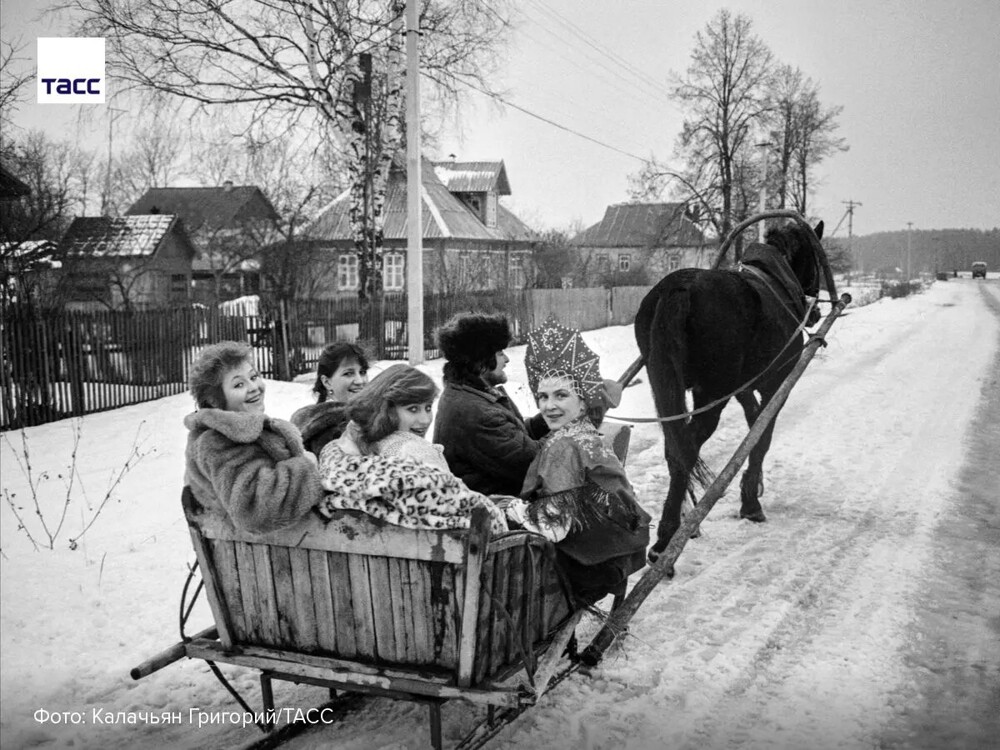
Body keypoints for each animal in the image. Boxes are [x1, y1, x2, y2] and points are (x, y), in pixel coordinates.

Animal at [636, 220, 824, 560]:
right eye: (815, 258)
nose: (814, 309)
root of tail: (680, 288)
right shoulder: (775, 384)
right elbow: (762, 435)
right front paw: (751, 501)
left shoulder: (741, 387)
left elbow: (753, 423)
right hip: (710, 394)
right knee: (687, 449)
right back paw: (667, 539)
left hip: (666, 383)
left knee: (675, 447)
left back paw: (683, 522)